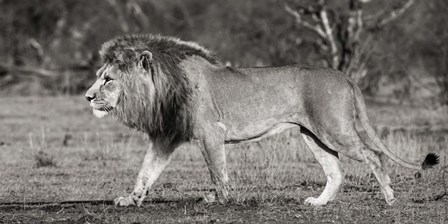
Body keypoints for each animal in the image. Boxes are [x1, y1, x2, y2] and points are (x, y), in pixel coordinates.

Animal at [86, 34, 440, 207]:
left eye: (108, 80)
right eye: (100, 77)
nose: (88, 97)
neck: (162, 88)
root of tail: (343, 74)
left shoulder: (210, 133)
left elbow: (217, 172)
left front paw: (220, 199)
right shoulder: (166, 136)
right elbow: (145, 172)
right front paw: (130, 200)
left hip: (334, 129)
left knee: (374, 155)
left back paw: (390, 198)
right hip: (314, 135)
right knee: (336, 170)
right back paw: (319, 204)